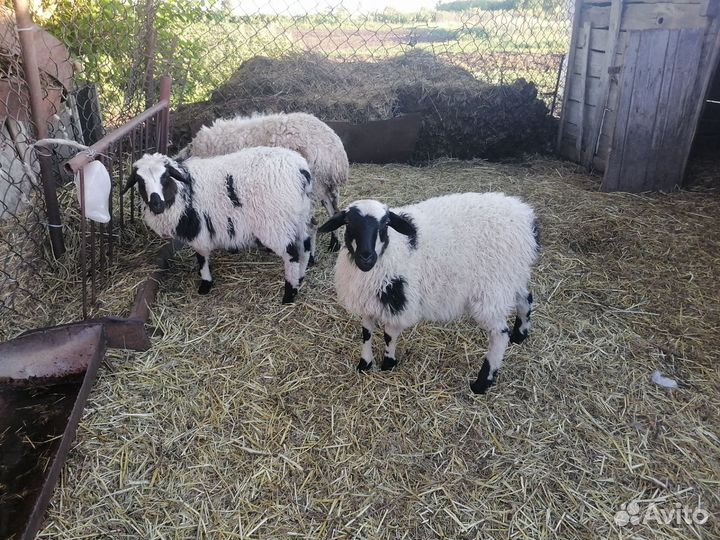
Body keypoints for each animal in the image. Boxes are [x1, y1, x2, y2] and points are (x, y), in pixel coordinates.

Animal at [124, 147, 315, 304]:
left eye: (165, 177)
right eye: (140, 181)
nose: (156, 204)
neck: (182, 190)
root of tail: (301, 170)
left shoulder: (199, 230)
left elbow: (201, 257)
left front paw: (205, 283)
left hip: (277, 223)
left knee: (291, 255)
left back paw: (289, 294)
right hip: (298, 216)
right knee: (305, 245)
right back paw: (300, 278)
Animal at [174, 111, 349, 255]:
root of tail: (334, 153)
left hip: (311, 187)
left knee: (311, 223)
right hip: (324, 184)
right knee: (333, 209)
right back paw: (334, 244)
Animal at [318, 192, 539, 394]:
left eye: (386, 223)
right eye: (348, 222)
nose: (366, 257)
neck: (391, 251)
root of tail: (527, 218)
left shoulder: (400, 302)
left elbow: (389, 335)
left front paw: (388, 363)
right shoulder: (368, 300)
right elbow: (366, 333)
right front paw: (364, 364)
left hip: (492, 288)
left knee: (499, 334)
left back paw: (482, 382)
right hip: (512, 277)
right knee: (526, 299)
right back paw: (520, 335)